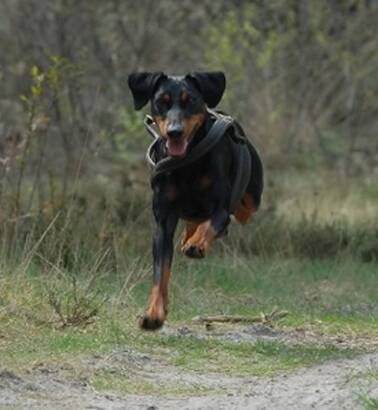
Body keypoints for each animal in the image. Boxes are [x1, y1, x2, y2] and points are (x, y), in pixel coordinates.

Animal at [127, 72, 262, 332]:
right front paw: (154, 314)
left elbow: (214, 222)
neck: (187, 163)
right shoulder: (163, 222)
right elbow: (160, 273)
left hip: (250, 201)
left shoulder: (221, 208)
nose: (174, 132)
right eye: (162, 101)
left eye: (190, 100)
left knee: (236, 214)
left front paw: (197, 244)